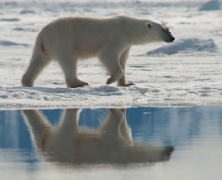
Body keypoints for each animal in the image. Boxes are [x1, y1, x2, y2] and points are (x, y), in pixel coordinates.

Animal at [21, 14, 173, 88]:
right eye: (163, 30)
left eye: (168, 28)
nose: (172, 38)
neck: (128, 29)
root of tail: (42, 33)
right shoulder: (115, 38)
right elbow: (107, 55)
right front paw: (109, 80)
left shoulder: (126, 45)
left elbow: (122, 60)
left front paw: (126, 84)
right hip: (63, 39)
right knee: (69, 60)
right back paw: (79, 83)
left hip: (44, 46)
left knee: (38, 61)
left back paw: (27, 82)